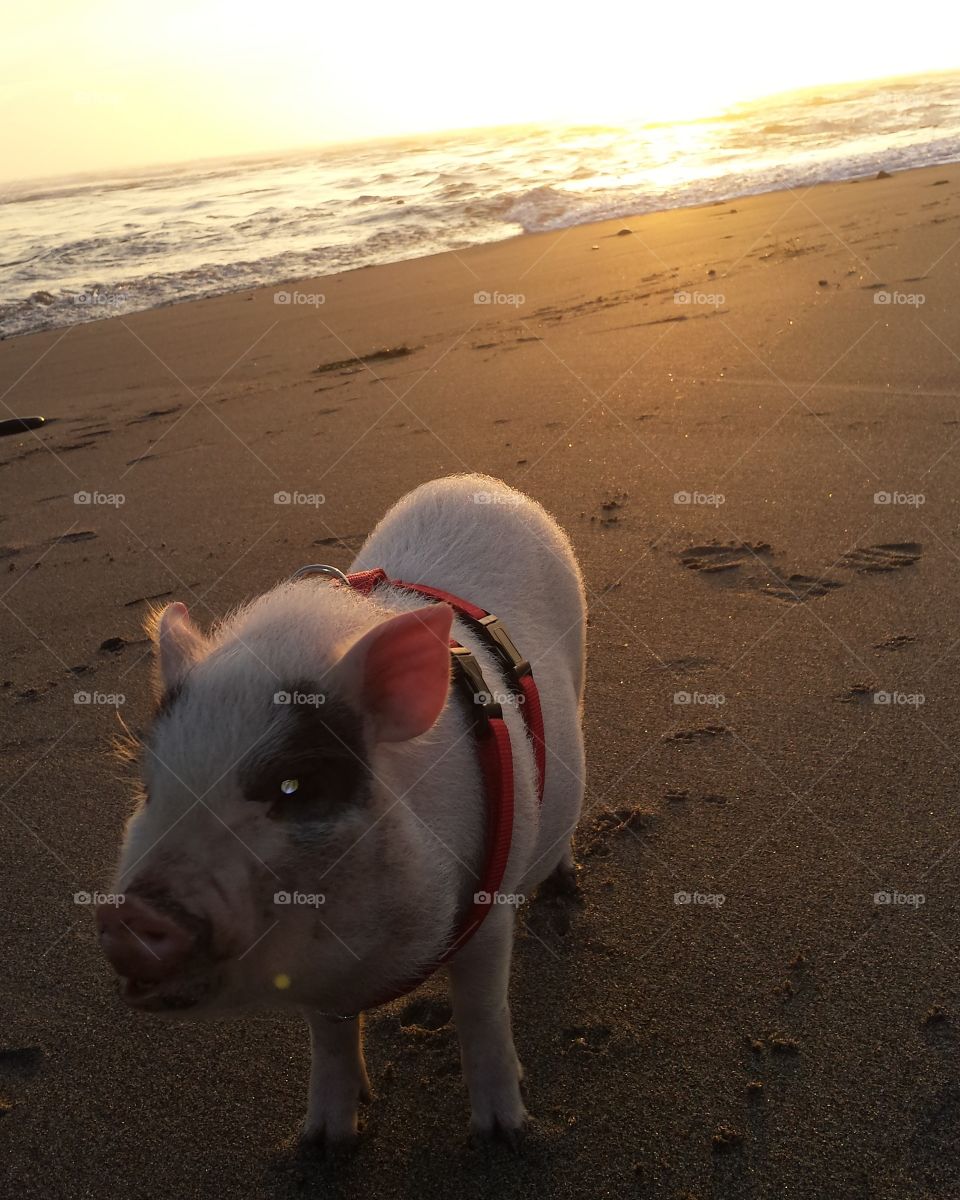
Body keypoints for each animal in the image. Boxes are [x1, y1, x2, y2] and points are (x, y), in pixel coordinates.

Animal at [97, 468, 585, 1142]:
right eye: (150, 788)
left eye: (294, 786)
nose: (127, 916)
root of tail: (472, 479)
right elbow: (328, 1039)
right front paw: (323, 1141)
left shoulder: (491, 905)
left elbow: (481, 1013)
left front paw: (505, 1134)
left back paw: (566, 885)